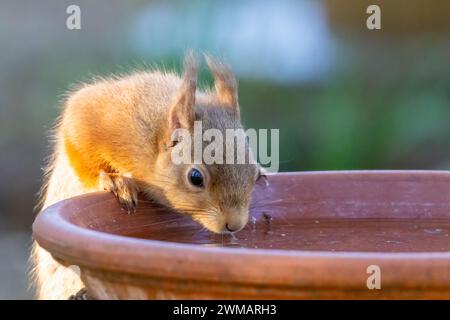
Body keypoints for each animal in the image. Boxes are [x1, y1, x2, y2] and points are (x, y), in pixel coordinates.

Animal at [31, 53, 264, 298]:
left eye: (255, 174)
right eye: (195, 177)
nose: (235, 225)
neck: (154, 138)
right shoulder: (107, 120)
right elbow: (79, 138)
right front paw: (112, 180)